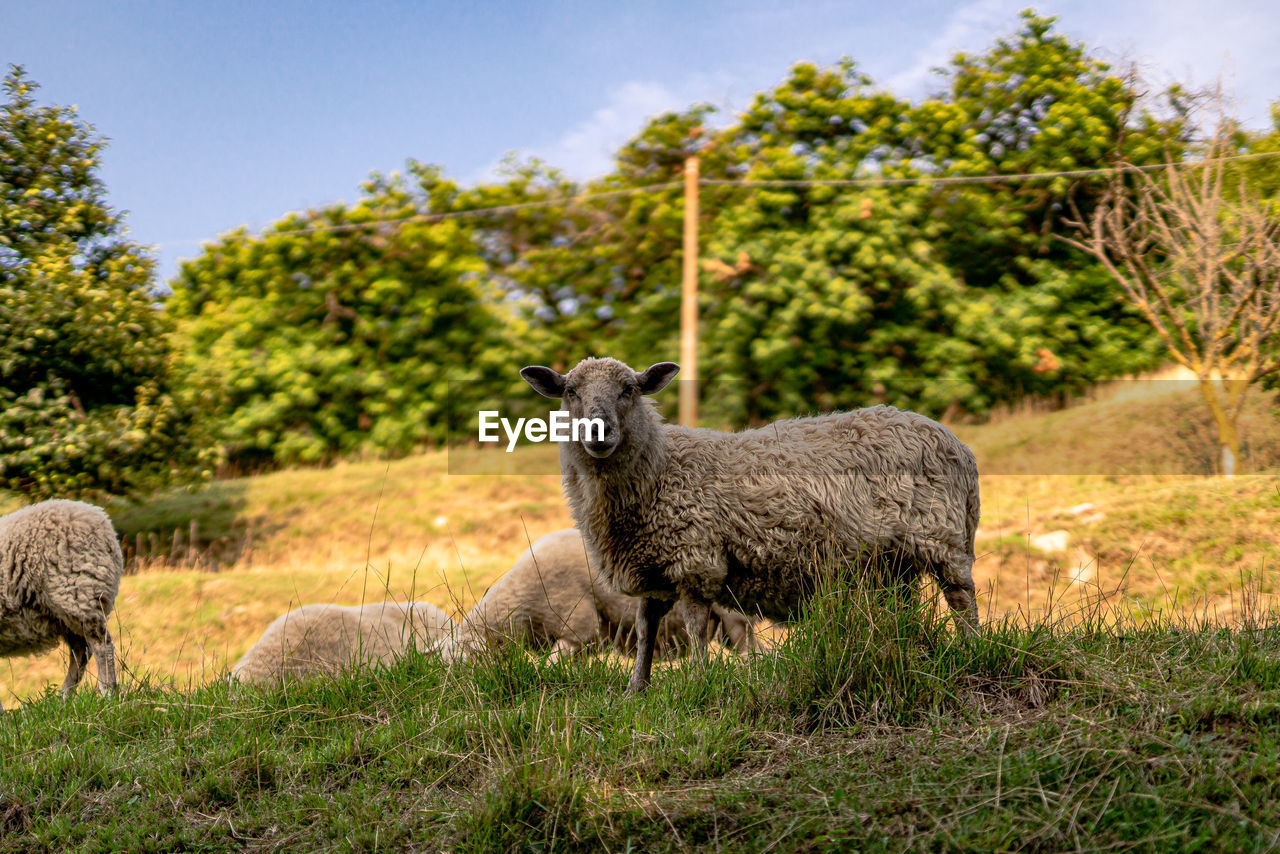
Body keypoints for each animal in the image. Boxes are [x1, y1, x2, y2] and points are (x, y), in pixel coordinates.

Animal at [0, 496, 123, 711]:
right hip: (65, 615)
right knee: (81, 652)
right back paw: (63, 699)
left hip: (78, 595)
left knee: (102, 646)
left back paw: (107, 695)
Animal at [519, 355, 977, 696]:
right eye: (571, 392)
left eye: (628, 389)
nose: (598, 432)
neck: (662, 468)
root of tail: (951, 438)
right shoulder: (652, 568)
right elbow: (646, 631)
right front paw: (636, 689)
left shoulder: (696, 562)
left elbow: (695, 628)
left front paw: (698, 681)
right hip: (895, 560)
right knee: (907, 610)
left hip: (942, 536)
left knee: (961, 598)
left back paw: (971, 648)